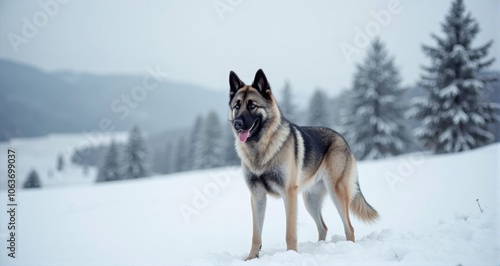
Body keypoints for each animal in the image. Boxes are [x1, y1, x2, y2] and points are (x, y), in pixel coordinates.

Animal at [229, 68, 376, 260]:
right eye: (236, 106)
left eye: (252, 105)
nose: (237, 124)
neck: (261, 148)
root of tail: (342, 138)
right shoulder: (257, 196)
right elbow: (256, 234)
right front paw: (252, 258)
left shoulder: (289, 194)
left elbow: (290, 233)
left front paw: (291, 256)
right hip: (310, 201)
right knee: (323, 227)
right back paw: (320, 247)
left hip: (336, 193)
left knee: (349, 227)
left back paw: (348, 249)